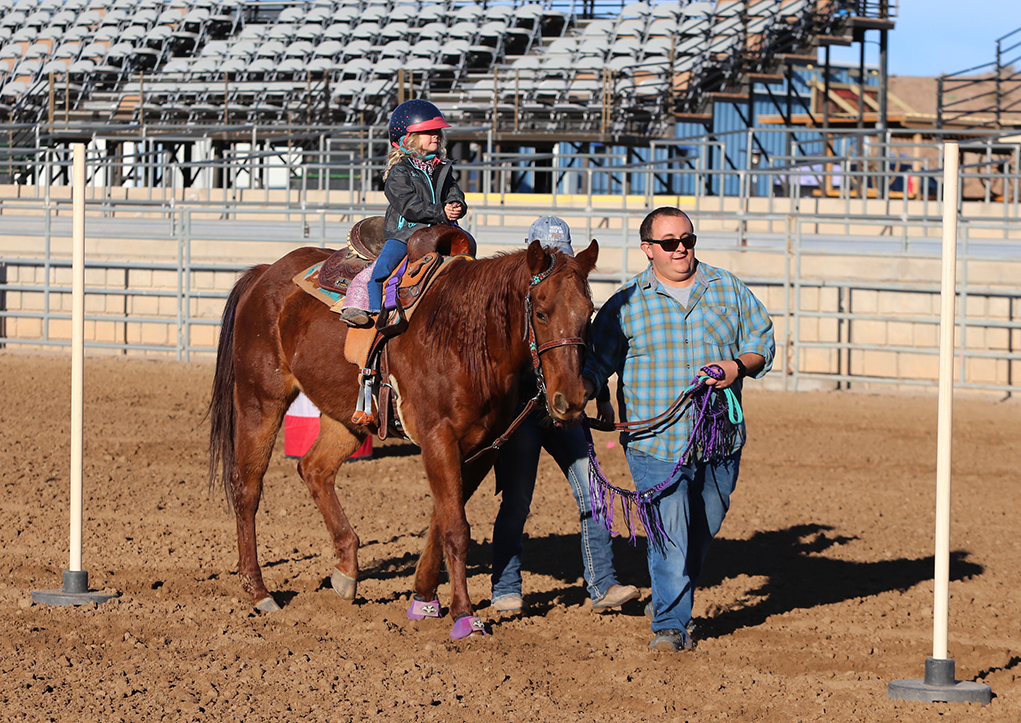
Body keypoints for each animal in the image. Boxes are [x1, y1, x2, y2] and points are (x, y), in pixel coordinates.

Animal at [206, 231, 596, 637]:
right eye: (541, 312)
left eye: (588, 314)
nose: (570, 400)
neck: (466, 337)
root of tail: (266, 273)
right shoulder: (438, 439)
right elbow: (456, 529)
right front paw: (463, 613)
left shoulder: (482, 447)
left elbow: (443, 520)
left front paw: (423, 596)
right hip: (261, 399)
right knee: (247, 487)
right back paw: (259, 591)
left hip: (348, 417)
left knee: (314, 469)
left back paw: (346, 571)